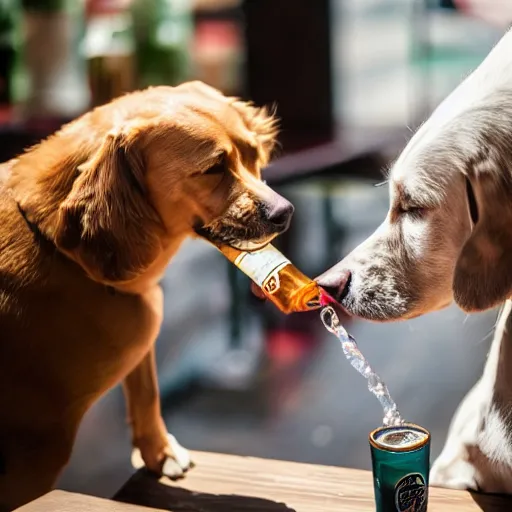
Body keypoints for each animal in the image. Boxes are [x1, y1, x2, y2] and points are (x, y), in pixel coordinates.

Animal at [0, 82, 292, 510]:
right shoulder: (32, 460)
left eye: (253, 154)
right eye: (212, 168)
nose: (285, 212)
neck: (60, 249)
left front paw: (160, 453)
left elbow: (147, 391)